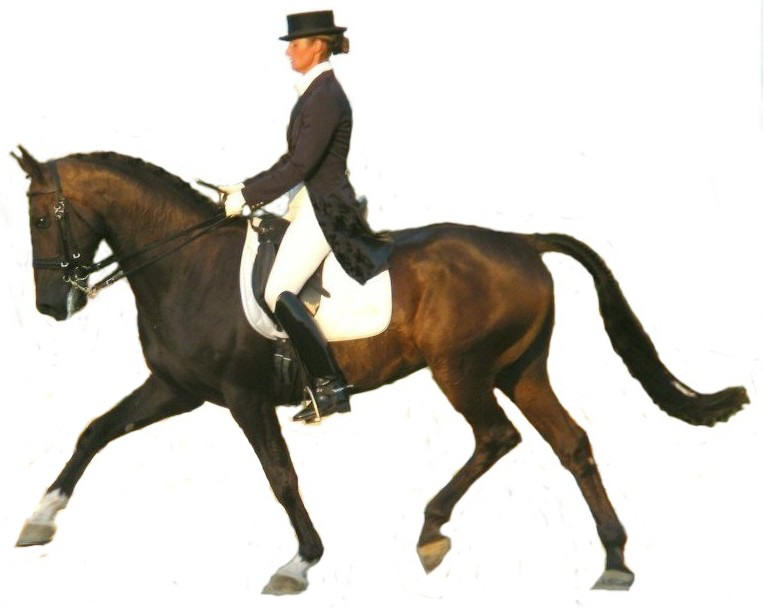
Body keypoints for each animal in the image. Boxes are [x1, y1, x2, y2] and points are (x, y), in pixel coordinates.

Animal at [11, 146, 748, 595]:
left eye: (45, 215)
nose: (52, 305)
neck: (186, 266)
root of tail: (524, 242)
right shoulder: (176, 388)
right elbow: (95, 431)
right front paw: (41, 517)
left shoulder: (244, 396)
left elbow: (280, 477)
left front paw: (301, 561)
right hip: (521, 370)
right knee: (572, 445)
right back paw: (615, 562)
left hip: (463, 372)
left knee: (497, 438)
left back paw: (431, 531)